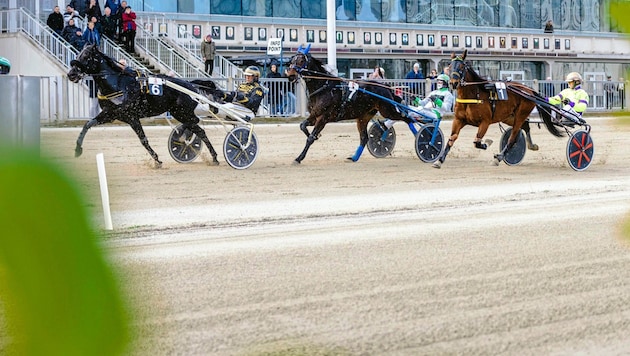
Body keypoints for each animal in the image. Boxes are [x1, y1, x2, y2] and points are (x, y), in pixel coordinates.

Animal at [67, 44, 222, 167]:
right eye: (79, 54)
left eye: (86, 56)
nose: (71, 74)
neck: (117, 84)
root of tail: (191, 85)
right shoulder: (110, 114)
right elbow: (87, 125)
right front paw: (77, 149)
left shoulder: (131, 117)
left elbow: (143, 139)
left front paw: (157, 160)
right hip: (178, 112)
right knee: (198, 129)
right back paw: (207, 153)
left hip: (183, 112)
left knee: (196, 124)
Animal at [434, 49, 564, 170]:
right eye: (449, 67)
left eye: (461, 67)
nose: (453, 83)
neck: (473, 95)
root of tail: (529, 90)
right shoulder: (458, 120)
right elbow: (452, 138)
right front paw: (439, 160)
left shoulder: (485, 122)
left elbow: (477, 142)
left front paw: (487, 143)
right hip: (508, 116)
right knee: (525, 126)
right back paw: (531, 145)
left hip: (520, 114)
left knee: (513, 137)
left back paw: (499, 157)